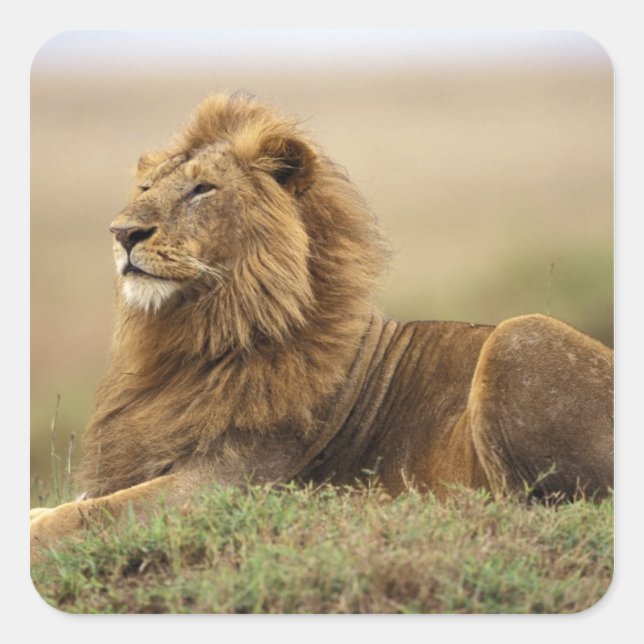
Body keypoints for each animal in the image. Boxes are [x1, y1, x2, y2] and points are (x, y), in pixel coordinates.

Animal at [30, 92, 613, 562]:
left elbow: (88, 515)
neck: (197, 338)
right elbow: (73, 505)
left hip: (520, 336)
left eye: (202, 189)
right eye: (146, 186)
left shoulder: (224, 483)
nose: (122, 232)